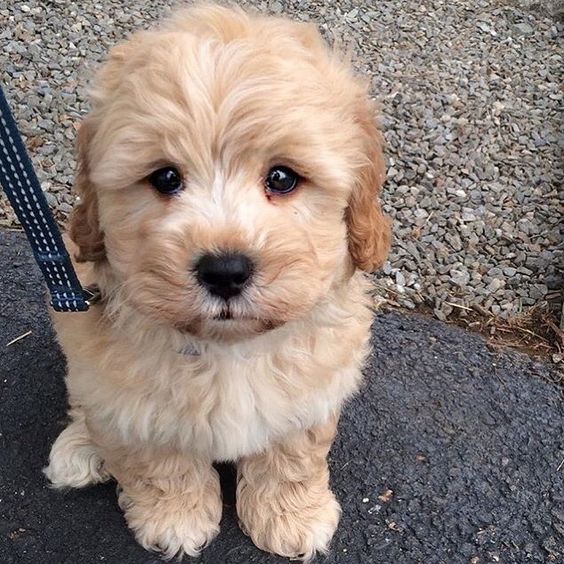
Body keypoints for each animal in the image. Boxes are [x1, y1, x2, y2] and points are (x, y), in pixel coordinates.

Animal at [44, 3, 390, 560]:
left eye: (282, 178)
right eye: (165, 178)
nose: (225, 270)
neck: (229, 349)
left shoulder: (309, 391)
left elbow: (293, 457)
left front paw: (291, 516)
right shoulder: (132, 402)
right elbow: (159, 463)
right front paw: (175, 519)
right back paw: (80, 447)